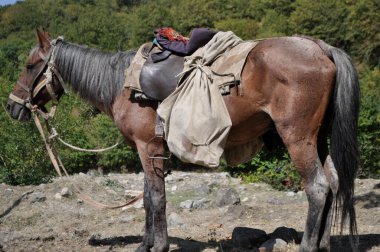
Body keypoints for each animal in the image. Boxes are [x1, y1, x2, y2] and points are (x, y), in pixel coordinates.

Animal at [5, 29, 360, 252]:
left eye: (30, 65)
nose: (12, 106)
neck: (121, 83)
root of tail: (321, 48)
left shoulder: (147, 148)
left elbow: (157, 198)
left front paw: (158, 245)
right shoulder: (150, 152)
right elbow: (148, 199)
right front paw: (145, 244)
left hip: (297, 138)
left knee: (317, 187)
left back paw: (308, 245)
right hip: (318, 138)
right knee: (333, 181)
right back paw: (324, 243)